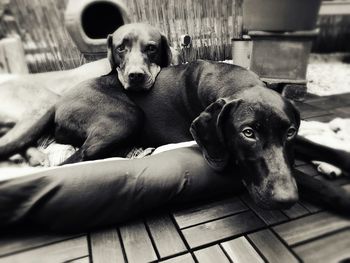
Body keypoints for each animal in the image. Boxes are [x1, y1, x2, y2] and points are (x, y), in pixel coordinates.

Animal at [0, 59, 350, 210]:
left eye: (289, 131)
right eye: (248, 133)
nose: (285, 199)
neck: (236, 81)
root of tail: (58, 101)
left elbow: (319, 146)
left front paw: (334, 157)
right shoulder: (232, 157)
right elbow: (306, 180)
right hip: (125, 116)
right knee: (76, 159)